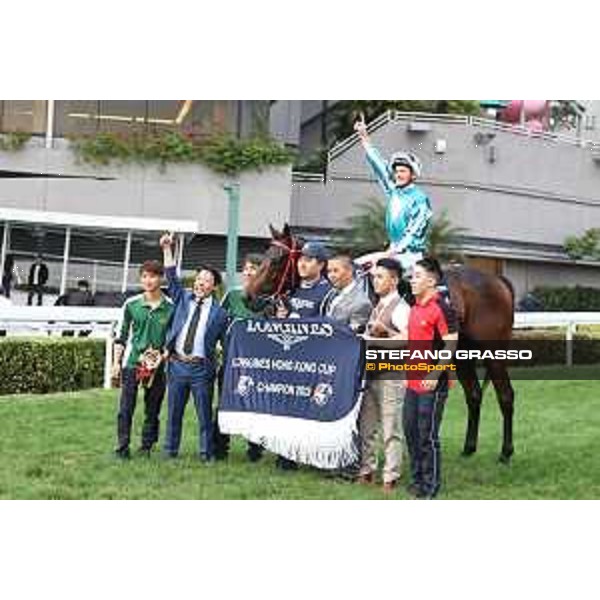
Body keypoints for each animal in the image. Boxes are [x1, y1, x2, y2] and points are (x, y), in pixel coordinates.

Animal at [247, 223, 516, 462]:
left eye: (277, 259)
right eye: (265, 254)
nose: (249, 296)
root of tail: (497, 280)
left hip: (493, 352)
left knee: (506, 395)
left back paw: (505, 452)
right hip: (461, 354)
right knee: (474, 394)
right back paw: (469, 448)